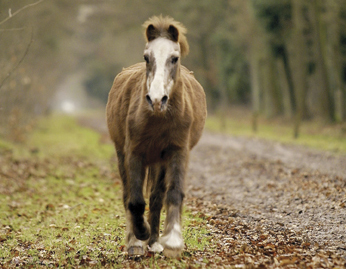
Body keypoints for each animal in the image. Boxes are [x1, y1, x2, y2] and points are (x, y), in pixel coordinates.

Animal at [105, 15, 207, 258]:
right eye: (146, 57)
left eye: (174, 58)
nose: (157, 99)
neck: (160, 117)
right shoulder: (134, 152)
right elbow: (134, 200)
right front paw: (138, 236)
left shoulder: (178, 151)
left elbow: (173, 193)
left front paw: (172, 241)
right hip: (123, 154)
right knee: (129, 196)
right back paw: (137, 241)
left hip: (160, 161)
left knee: (156, 197)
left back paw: (154, 242)